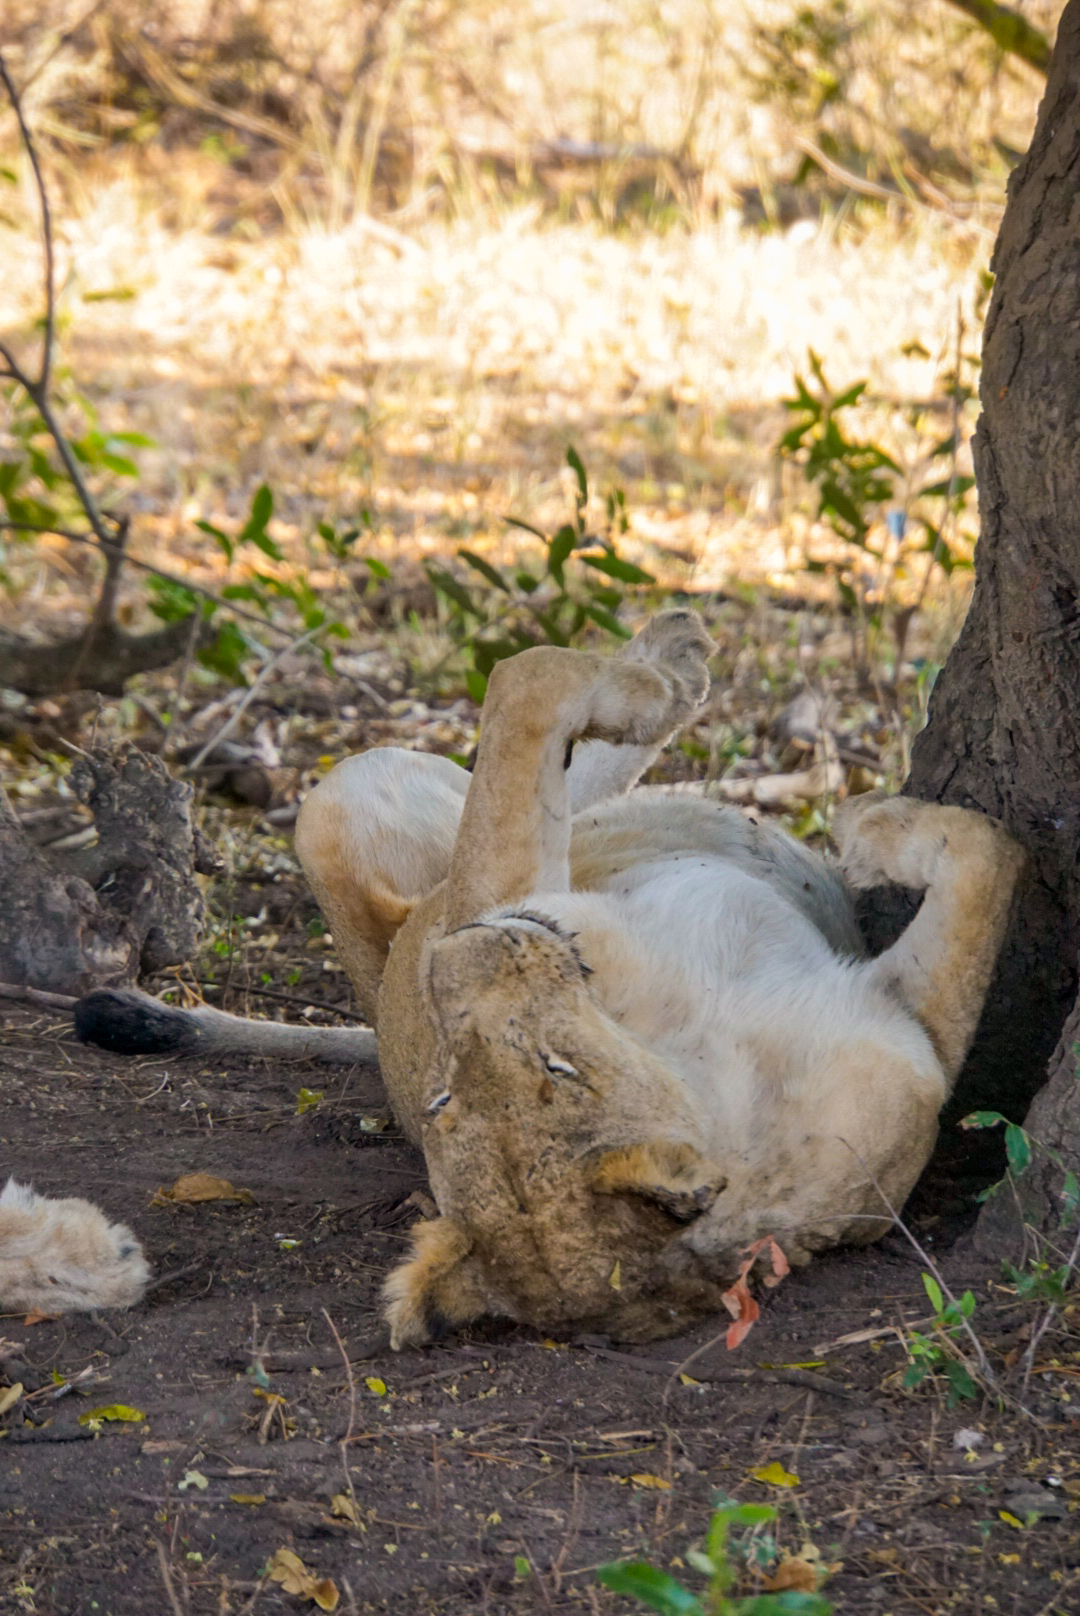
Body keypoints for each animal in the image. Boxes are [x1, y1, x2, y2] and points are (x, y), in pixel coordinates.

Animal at [6, 607, 1021, 1338]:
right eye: (449, 1092)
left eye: (552, 1067)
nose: (454, 958)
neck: (711, 1059)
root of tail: (381, 973)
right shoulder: (502, 885)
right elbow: (528, 677)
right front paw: (867, 827)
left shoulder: (907, 1048)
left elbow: (985, 853)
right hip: (360, 799)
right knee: (536, 753)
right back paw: (666, 663)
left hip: (347, 820)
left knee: (560, 775)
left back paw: (670, 654)